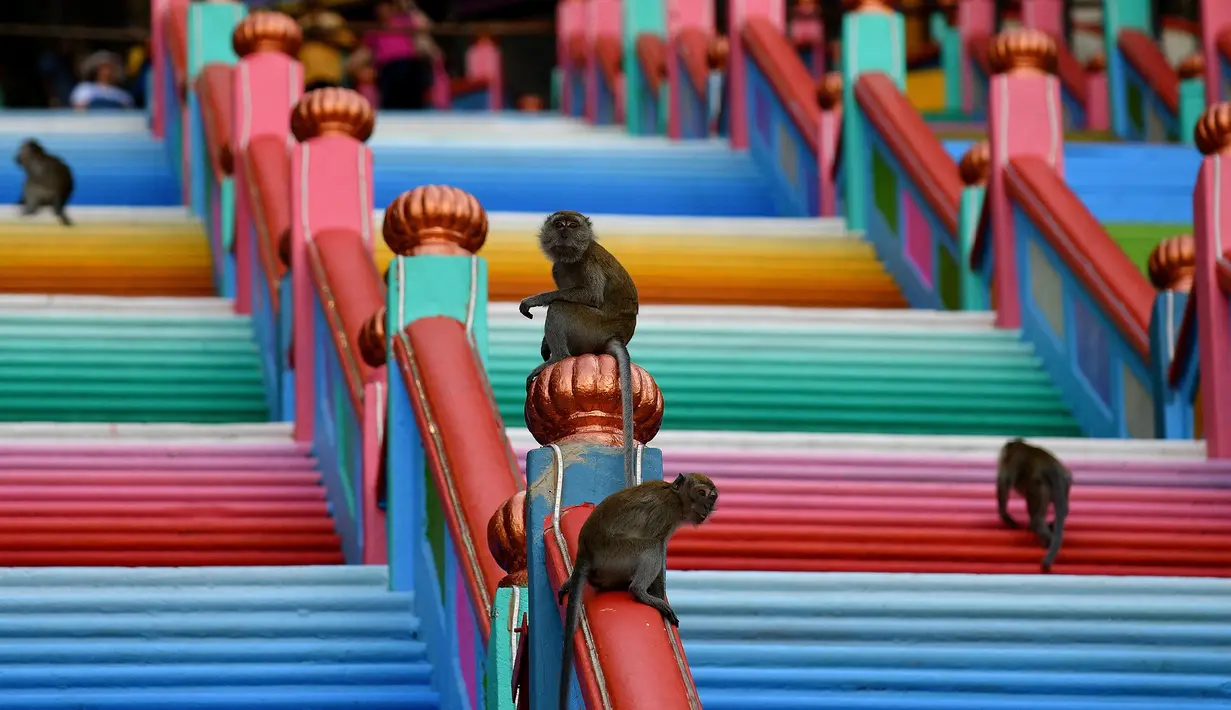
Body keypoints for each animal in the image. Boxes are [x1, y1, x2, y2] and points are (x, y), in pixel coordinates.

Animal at [519, 209, 640, 487]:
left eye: (573, 225)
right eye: (559, 224)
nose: (565, 232)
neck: (571, 259)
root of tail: (615, 336)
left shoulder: (587, 264)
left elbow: (590, 295)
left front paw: (536, 299)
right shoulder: (558, 268)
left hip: (590, 327)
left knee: (561, 307)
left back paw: (557, 358)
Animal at [556, 470, 718, 708]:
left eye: (712, 498)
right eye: (701, 493)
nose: (707, 508)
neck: (676, 497)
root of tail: (585, 551)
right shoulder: (664, 513)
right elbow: (658, 543)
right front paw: (657, 593)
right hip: (615, 553)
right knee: (651, 546)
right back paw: (640, 591)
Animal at [994, 438, 1073, 570]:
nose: (1001, 456)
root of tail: (1053, 468)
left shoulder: (1012, 462)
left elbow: (1004, 483)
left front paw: (1007, 518)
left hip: (1040, 486)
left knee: (1034, 505)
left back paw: (1042, 533)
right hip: (1064, 483)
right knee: (1063, 508)